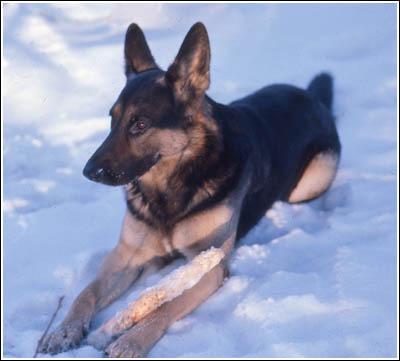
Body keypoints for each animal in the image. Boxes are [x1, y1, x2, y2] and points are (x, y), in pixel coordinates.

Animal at [39, 23, 340, 358]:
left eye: (140, 124)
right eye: (112, 120)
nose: (88, 172)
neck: (168, 189)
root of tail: (312, 96)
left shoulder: (208, 267)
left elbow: (164, 307)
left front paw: (131, 341)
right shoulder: (125, 256)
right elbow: (86, 292)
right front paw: (64, 330)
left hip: (312, 177)